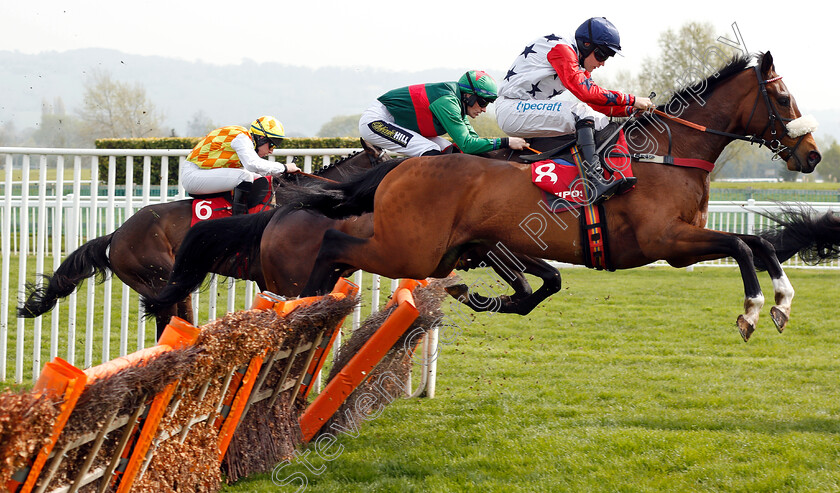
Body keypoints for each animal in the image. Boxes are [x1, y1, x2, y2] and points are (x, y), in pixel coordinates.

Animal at [278, 52, 820, 340]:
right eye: (783, 97)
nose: (812, 154)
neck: (667, 153)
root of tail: (406, 164)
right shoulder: (665, 240)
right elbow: (741, 244)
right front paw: (753, 309)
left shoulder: (681, 246)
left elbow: (758, 243)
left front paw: (782, 301)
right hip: (411, 249)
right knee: (335, 243)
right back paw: (305, 297)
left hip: (444, 251)